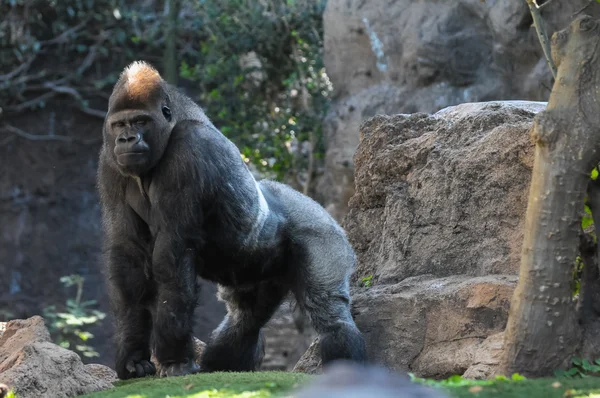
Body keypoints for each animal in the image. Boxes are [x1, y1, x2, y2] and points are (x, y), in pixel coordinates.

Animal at [97, 60, 366, 378]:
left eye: (140, 121)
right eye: (119, 125)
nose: (127, 139)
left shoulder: (190, 149)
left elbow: (172, 257)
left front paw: (174, 359)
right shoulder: (109, 162)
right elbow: (128, 257)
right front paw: (133, 356)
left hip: (323, 232)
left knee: (330, 313)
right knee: (245, 320)